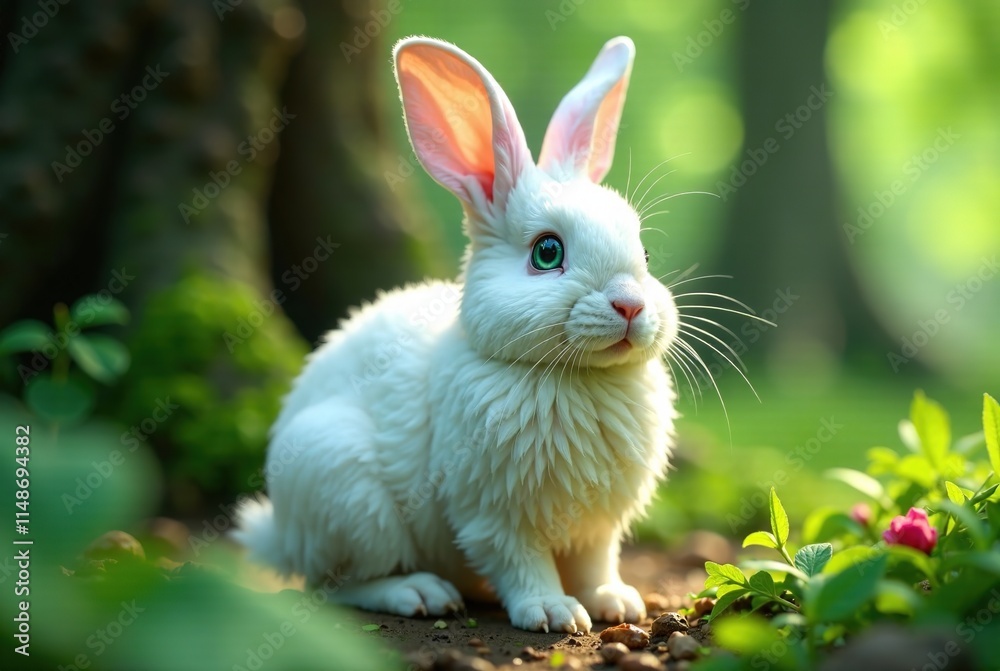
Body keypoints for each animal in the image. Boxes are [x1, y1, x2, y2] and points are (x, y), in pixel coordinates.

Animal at [234, 34, 678, 634]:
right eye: (547, 252)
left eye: (646, 253)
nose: (631, 305)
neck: (574, 377)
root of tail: (279, 535)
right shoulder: (492, 514)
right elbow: (522, 563)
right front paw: (555, 613)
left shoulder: (598, 525)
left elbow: (595, 563)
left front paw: (616, 602)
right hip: (347, 489)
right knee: (335, 586)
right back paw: (419, 593)